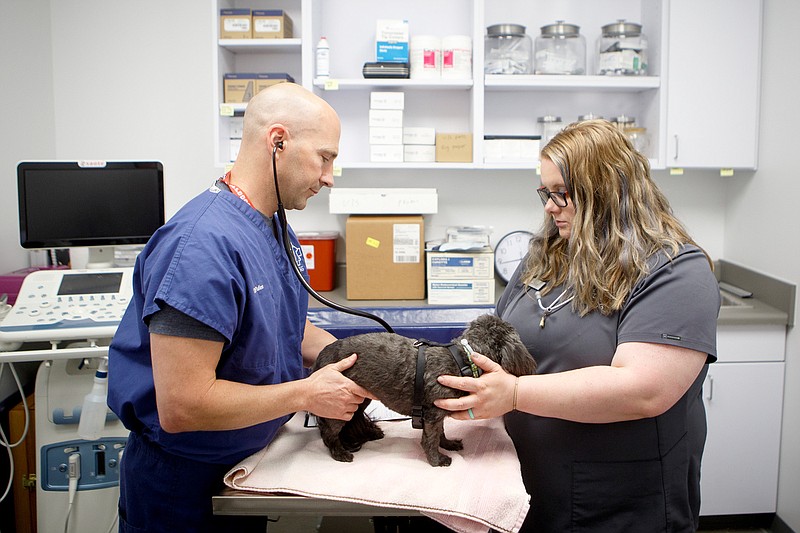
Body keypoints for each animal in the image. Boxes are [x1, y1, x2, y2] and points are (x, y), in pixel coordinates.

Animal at [312, 312, 536, 466]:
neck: (464, 358)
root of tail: (321, 358)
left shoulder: (438, 412)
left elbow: (441, 433)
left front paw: (448, 444)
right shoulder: (432, 415)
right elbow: (430, 438)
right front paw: (437, 459)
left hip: (357, 397)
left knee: (354, 417)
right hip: (338, 402)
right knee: (328, 431)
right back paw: (339, 452)